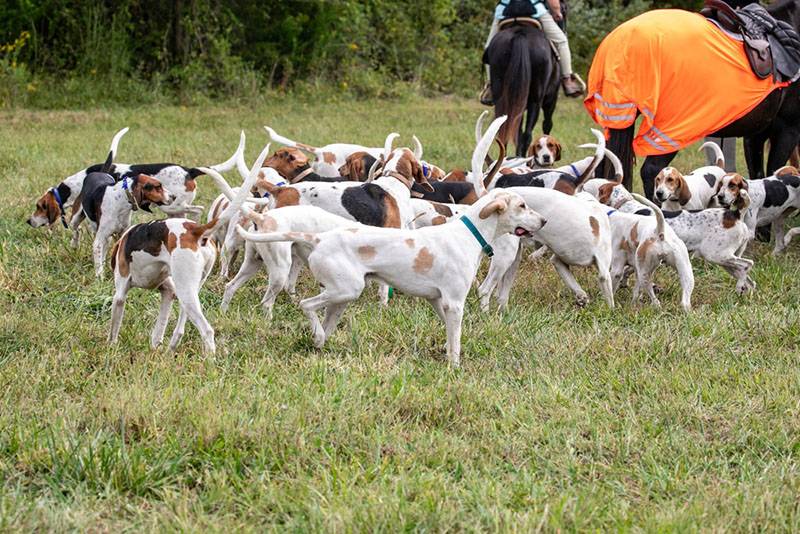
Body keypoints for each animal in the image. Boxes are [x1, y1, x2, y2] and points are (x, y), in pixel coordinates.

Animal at [484, 22, 560, 158]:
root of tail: (520, 34)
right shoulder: (551, 99)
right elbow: (547, 125)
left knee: (506, 131)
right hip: (536, 101)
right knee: (527, 134)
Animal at [600, 1, 800, 198]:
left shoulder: (756, 133)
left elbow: (758, 175)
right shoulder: (787, 129)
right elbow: (775, 172)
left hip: (618, 115)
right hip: (669, 130)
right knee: (652, 171)